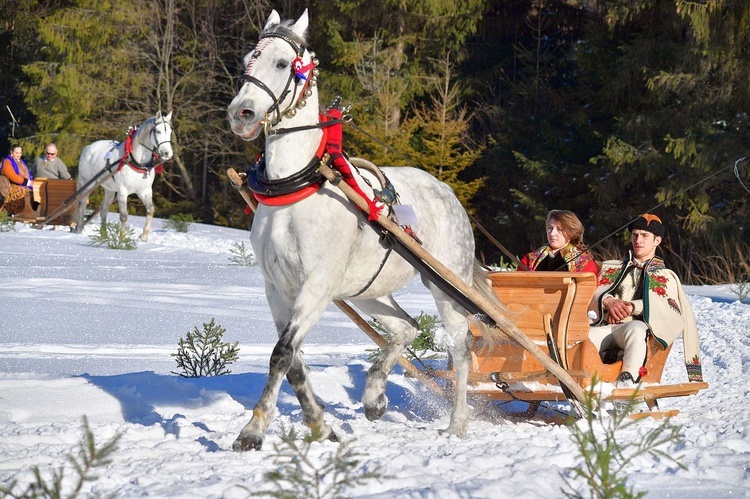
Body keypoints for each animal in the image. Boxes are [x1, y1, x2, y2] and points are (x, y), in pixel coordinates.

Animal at [77, 112, 176, 241]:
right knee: (83, 203)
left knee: (104, 208)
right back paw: (79, 229)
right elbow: (124, 216)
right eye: (158, 131)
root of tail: (88, 147)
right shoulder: (123, 191)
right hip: (87, 184)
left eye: (169, 131)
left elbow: (150, 210)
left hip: (109, 189)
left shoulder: (144, 191)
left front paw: (144, 235)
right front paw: (122, 237)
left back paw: (104, 234)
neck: (136, 160)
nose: (167, 153)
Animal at [223, 10, 506, 454]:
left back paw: (457, 423)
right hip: (366, 290)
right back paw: (374, 396)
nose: (242, 114)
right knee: (407, 327)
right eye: (246, 60)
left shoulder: (317, 285)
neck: (295, 187)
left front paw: (253, 430)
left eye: (283, 63)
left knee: (460, 349)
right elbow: (293, 361)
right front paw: (320, 425)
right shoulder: (278, 288)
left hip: (446, 285)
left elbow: (282, 355)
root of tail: (447, 192)